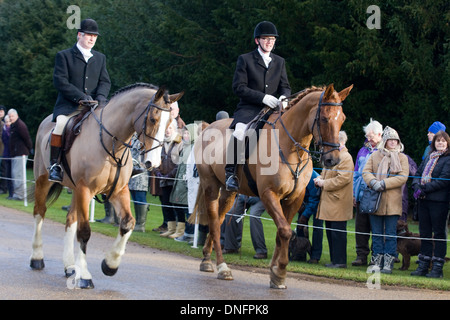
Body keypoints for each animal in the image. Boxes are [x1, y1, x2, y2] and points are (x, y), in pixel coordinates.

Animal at [29, 84, 183, 288]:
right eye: (152, 119)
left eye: (169, 123)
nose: (154, 163)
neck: (112, 146)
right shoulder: (85, 189)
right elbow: (84, 232)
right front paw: (85, 276)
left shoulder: (118, 191)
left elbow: (128, 223)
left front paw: (110, 264)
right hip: (43, 180)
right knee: (39, 213)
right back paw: (37, 258)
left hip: (75, 190)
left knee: (70, 219)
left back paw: (70, 266)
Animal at [190, 84, 352, 288]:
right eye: (324, 118)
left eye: (343, 118)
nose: (333, 160)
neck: (292, 148)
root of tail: (208, 127)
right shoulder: (269, 194)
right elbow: (285, 231)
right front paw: (280, 270)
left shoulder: (294, 199)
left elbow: (282, 233)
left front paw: (275, 272)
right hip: (210, 186)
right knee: (213, 222)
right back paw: (222, 267)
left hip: (229, 193)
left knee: (218, 221)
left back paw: (206, 258)